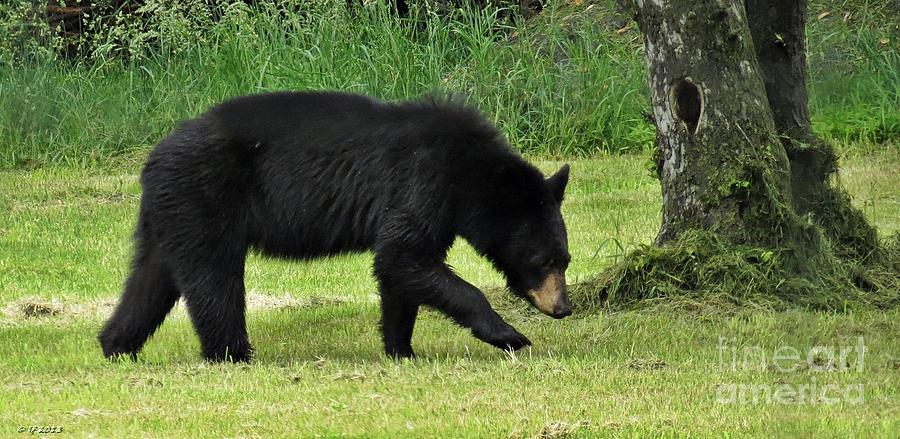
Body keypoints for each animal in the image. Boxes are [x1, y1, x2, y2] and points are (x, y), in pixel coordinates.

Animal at [98, 91, 568, 362]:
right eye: (543, 260)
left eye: (565, 259)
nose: (563, 307)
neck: (469, 173)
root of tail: (153, 158)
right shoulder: (423, 182)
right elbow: (404, 254)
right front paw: (509, 335)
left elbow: (401, 268)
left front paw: (401, 349)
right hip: (205, 197)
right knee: (214, 278)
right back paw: (232, 353)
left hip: (171, 211)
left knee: (152, 277)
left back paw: (116, 344)